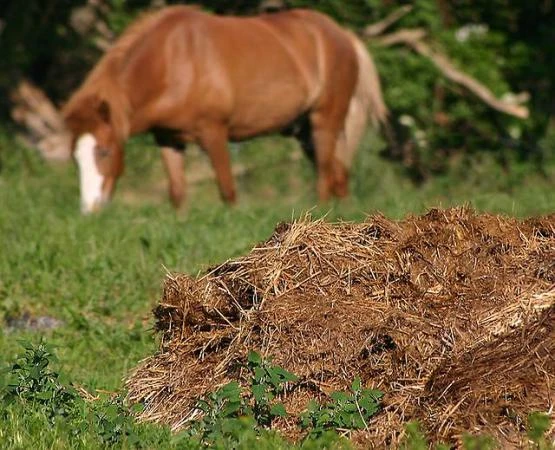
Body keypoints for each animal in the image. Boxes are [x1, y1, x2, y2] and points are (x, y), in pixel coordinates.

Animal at [63, 5, 388, 213]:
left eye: (105, 151)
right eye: (75, 158)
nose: (89, 209)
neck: (172, 61)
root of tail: (343, 34)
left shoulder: (214, 133)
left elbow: (227, 190)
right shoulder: (168, 139)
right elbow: (177, 193)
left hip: (325, 121)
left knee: (324, 175)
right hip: (305, 130)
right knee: (338, 175)